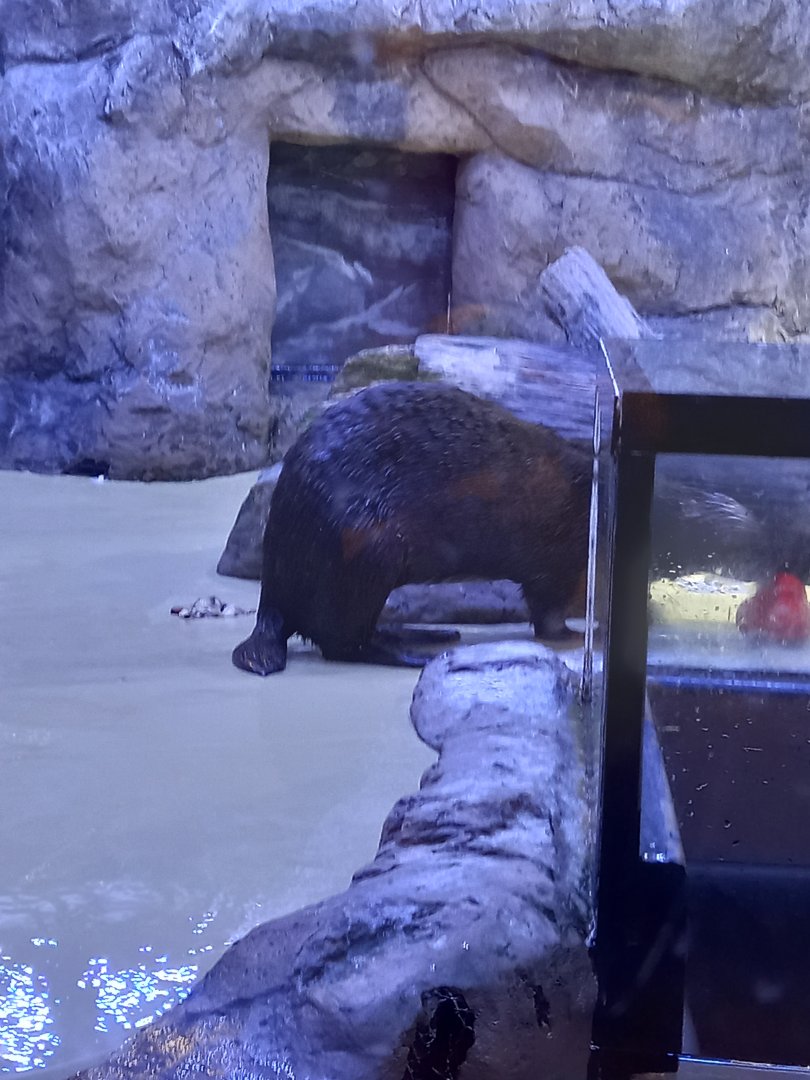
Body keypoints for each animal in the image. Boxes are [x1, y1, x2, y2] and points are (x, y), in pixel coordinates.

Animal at [232, 382, 591, 675]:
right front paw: (574, 633)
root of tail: (272, 599)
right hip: (368, 551)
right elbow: (548, 609)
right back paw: (415, 652)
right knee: (341, 642)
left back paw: (423, 633)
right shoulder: (561, 552)